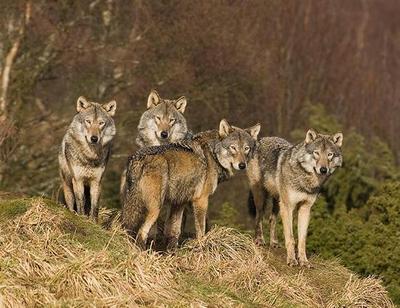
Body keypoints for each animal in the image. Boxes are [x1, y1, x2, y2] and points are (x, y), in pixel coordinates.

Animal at [120, 119, 260, 249]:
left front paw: (172, 253)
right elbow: (201, 230)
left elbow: (174, 232)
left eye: (246, 148)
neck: (213, 154)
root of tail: (138, 159)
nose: (242, 165)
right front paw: (202, 247)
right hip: (155, 208)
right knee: (141, 233)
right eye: (233, 147)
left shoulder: (179, 203)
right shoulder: (201, 200)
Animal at [247, 128, 344, 268]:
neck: (305, 180)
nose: (323, 169)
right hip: (261, 197)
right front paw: (292, 260)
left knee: (272, 219)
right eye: (316, 153)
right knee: (259, 216)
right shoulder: (288, 207)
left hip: (278, 202)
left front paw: (304, 261)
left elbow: (302, 240)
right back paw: (259, 240)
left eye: (330, 154)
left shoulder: (305, 208)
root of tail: (261, 139)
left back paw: (274, 242)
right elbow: (291, 238)